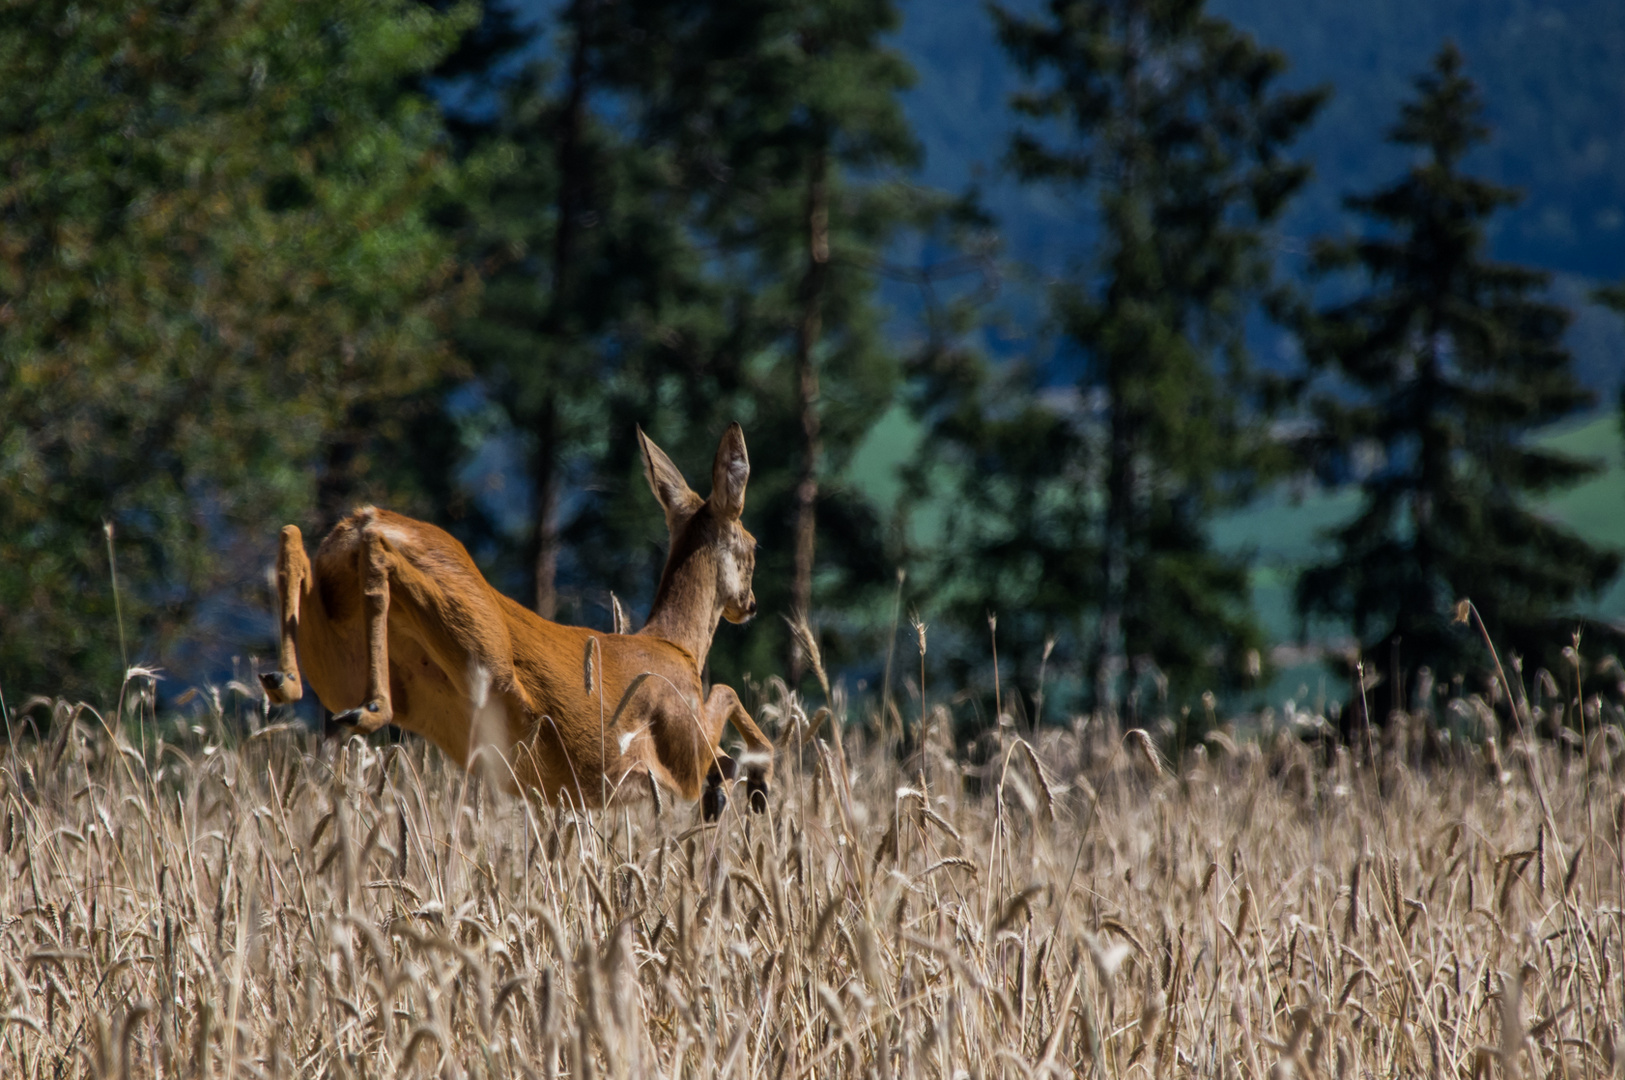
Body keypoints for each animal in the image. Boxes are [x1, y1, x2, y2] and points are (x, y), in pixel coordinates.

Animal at [258, 422, 773, 818]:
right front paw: (756, 779)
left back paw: (284, 679)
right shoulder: (681, 753)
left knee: (292, 538)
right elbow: (725, 696)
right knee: (376, 557)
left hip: (339, 658)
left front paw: (736, 785)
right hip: (476, 637)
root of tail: (358, 524)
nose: (750, 604)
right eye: (753, 545)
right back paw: (369, 706)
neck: (676, 644)